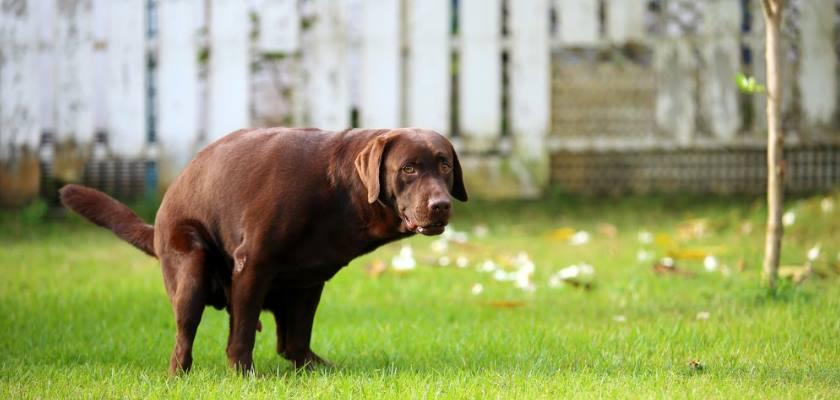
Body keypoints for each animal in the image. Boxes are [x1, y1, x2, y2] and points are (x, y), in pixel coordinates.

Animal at [59, 127, 466, 372]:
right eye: (408, 169)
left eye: (445, 164)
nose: (441, 205)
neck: (339, 191)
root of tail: (158, 221)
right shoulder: (252, 265)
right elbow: (240, 337)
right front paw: (243, 375)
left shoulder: (309, 281)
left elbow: (296, 338)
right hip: (190, 266)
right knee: (183, 340)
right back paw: (180, 376)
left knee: (286, 342)